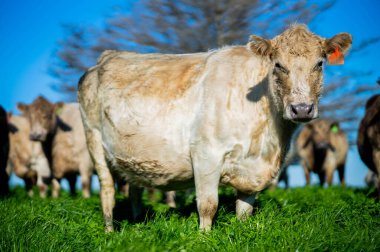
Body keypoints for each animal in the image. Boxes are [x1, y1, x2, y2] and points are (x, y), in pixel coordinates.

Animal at [78, 24, 354, 231]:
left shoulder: (251, 170)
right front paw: (204, 237)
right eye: (278, 65)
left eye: (319, 64)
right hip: (93, 140)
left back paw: (137, 224)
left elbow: (244, 212)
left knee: (134, 189)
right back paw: (110, 232)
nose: (302, 109)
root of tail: (107, 57)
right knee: (107, 191)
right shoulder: (205, 153)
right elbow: (208, 204)